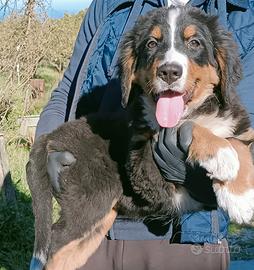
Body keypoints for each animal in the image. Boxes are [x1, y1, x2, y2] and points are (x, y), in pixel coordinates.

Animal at [27, 4, 254, 270]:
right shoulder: (146, 156)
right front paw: (224, 159)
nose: (169, 72)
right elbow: (187, 127)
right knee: (55, 245)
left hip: (96, 221)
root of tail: (50, 137)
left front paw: (242, 196)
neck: (201, 109)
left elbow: (239, 143)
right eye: (151, 44)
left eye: (195, 42)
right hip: (88, 203)